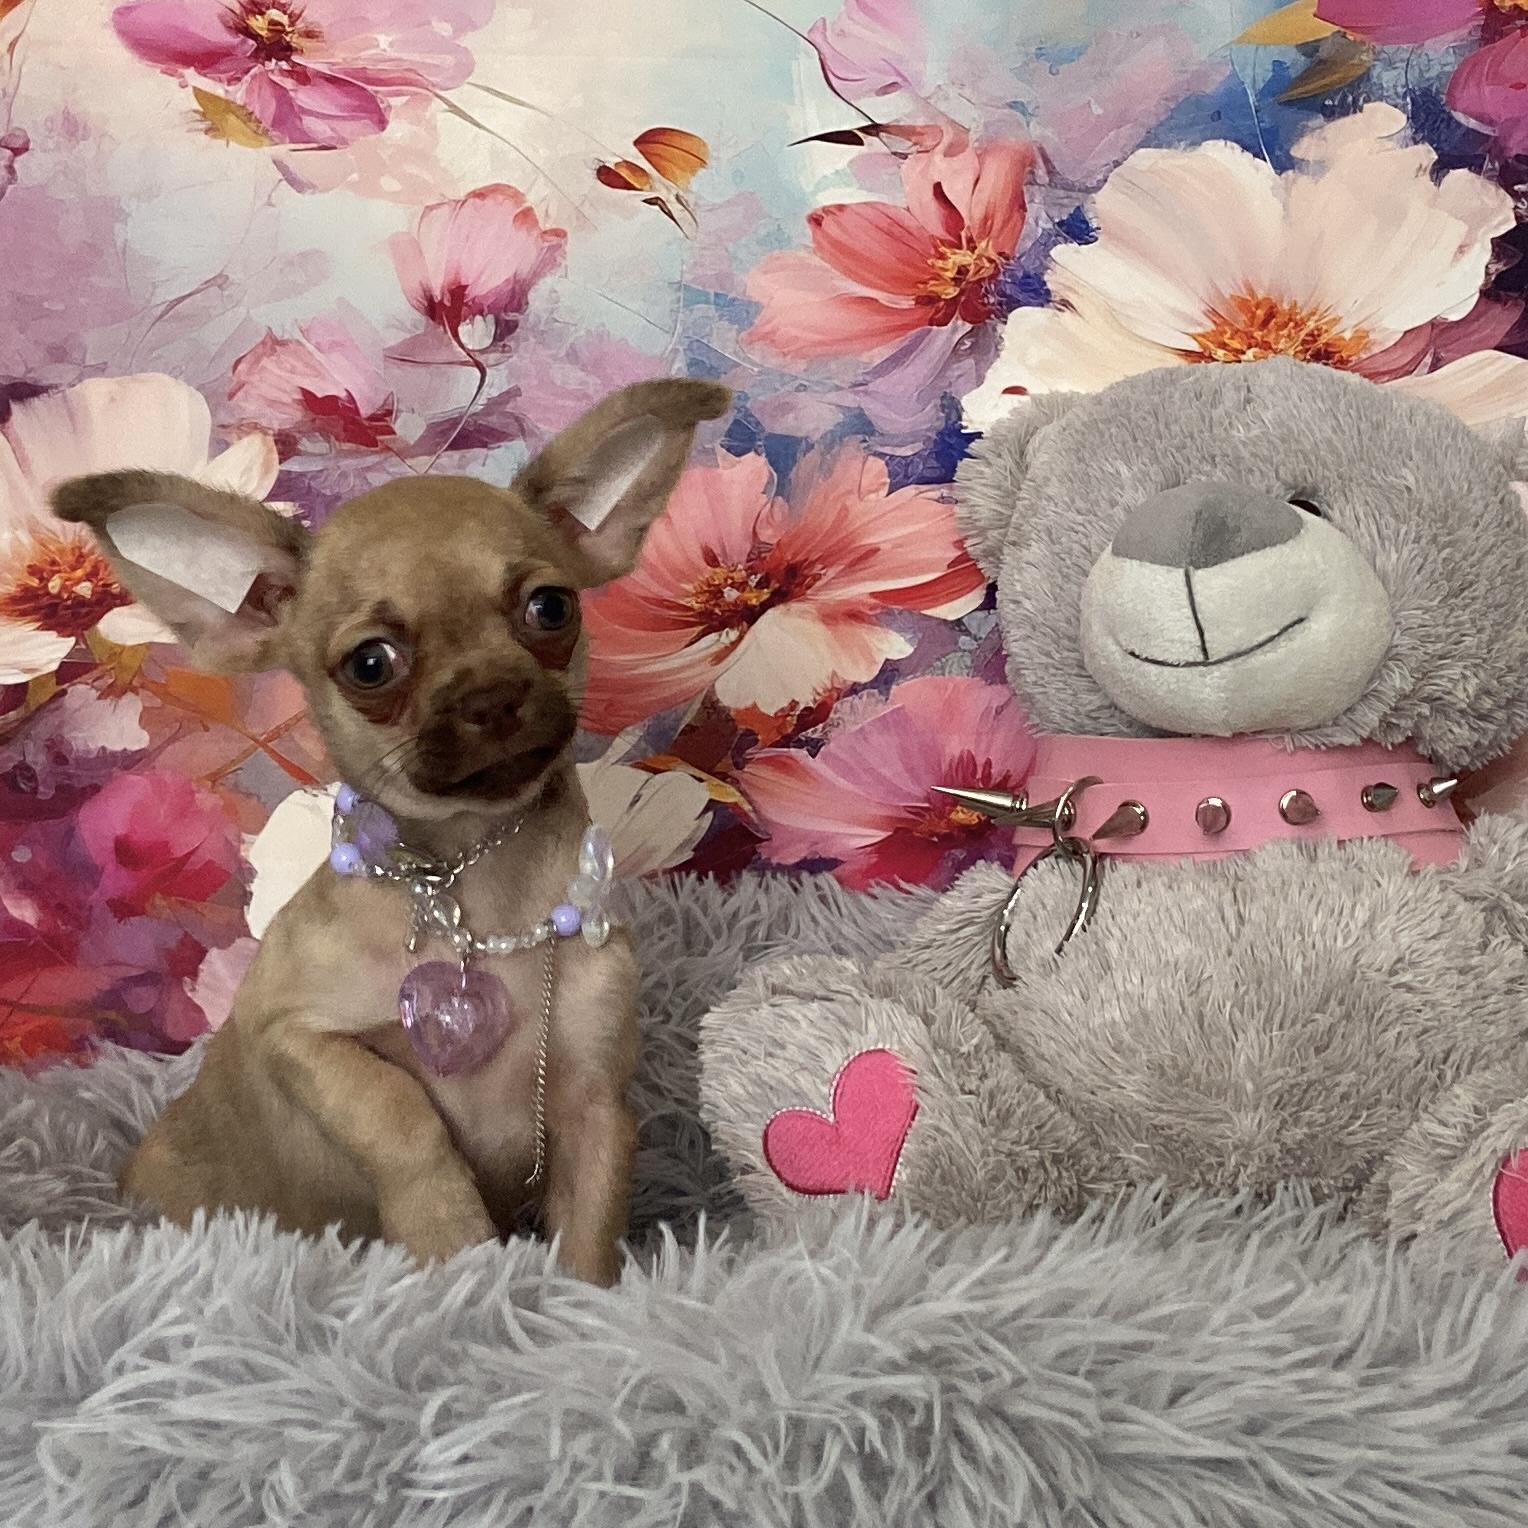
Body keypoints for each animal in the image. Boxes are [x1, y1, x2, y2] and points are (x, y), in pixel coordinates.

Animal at [51, 378, 729, 1284]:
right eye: (371, 665)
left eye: (550, 609)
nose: (490, 696)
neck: (471, 889)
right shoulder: (293, 1037)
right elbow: (397, 1105)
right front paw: (451, 1237)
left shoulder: (595, 1111)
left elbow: (587, 1246)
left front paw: (576, 1306)